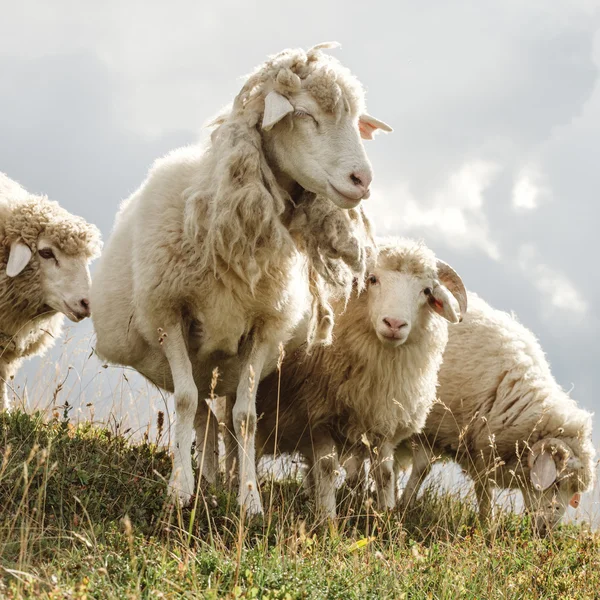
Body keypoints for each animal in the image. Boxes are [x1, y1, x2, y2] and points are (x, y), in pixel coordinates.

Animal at [89, 42, 390, 512]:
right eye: (303, 114)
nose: (362, 180)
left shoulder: (264, 327)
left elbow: (245, 418)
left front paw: (249, 500)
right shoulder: (169, 314)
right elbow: (185, 402)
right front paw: (179, 490)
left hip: (225, 364)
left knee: (220, 419)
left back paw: (220, 479)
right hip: (181, 353)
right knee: (198, 410)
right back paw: (202, 478)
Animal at [251, 237, 466, 516]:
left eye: (427, 291)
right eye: (372, 279)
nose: (394, 324)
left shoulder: (382, 421)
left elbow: (385, 474)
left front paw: (386, 516)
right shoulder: (316, 415)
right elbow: (327, 468)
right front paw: (328, 518)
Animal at [396, 292, 596, 536]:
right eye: (556, 482)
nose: (546, 531)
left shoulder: (481, 449)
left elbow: (483, 490)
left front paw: (486, 525)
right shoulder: (431, 429)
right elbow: (422, 470)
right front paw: (402, 507)